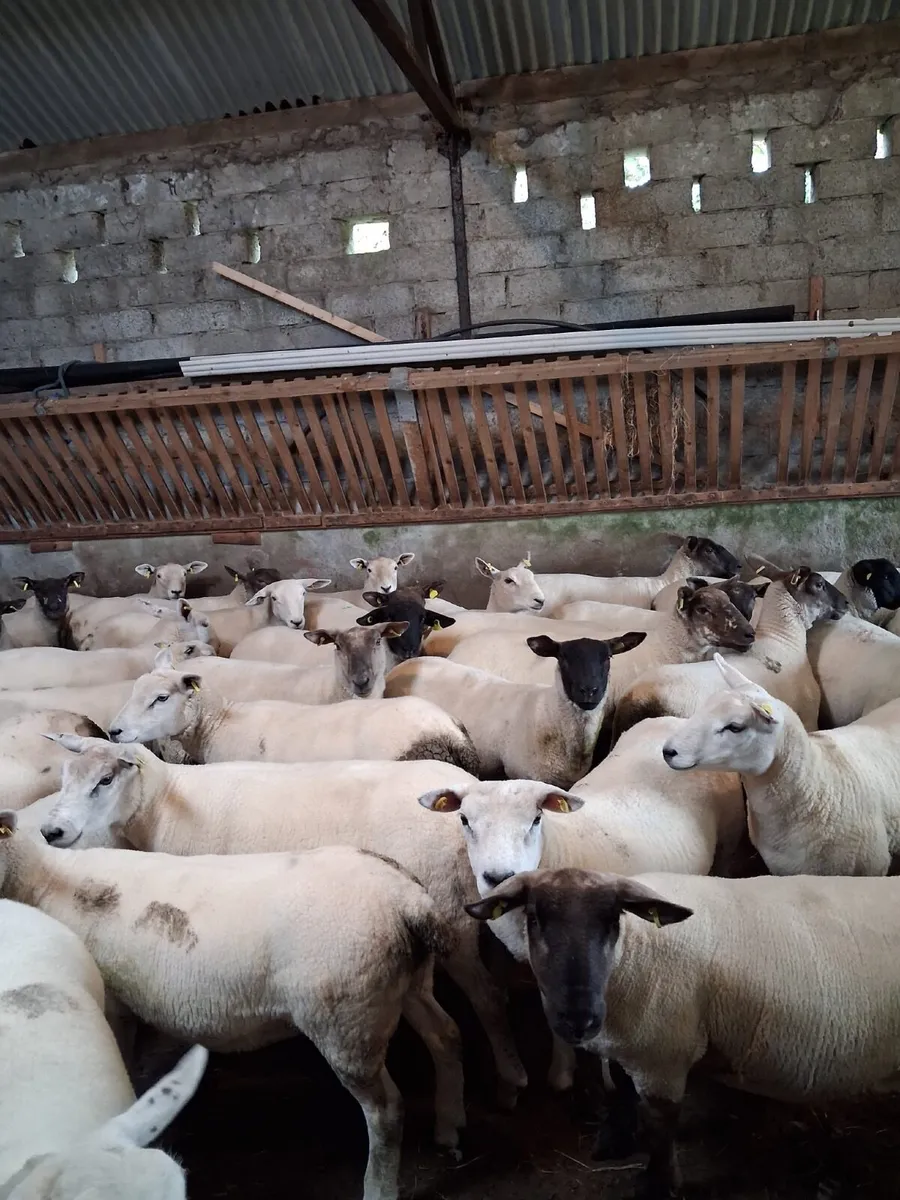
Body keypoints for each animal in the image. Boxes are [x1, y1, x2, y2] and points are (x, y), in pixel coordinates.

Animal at [39, 736, 527, 1108]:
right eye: (64, 779)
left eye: (105, 780)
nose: (51, 832)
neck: (163, 805)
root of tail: (472, 792)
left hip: (450, 908)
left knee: (489, 996)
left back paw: (511, 1080)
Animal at [468, 868, 900, 1198]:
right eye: (534, 919)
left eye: (612, 920)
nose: (579, 1019)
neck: (632, 953)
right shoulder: (633, 1043)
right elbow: (621, 1088)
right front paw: (614, 1141)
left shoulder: (663, 1055)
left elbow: (661, 1130)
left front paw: (657, 1185)